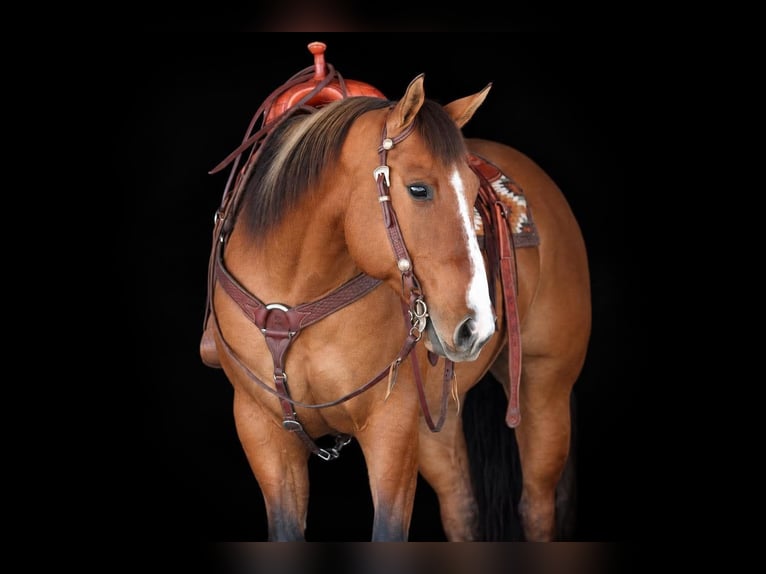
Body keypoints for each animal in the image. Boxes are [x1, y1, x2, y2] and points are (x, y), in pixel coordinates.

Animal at [199, 42, 591, 541]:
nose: (476, 327)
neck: (292, 298)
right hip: (437, 422)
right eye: (418, 189)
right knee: (461, 507)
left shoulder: (390, 427)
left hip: (544, 387)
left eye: (473, 195)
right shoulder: (262, 430)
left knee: (537, 506)